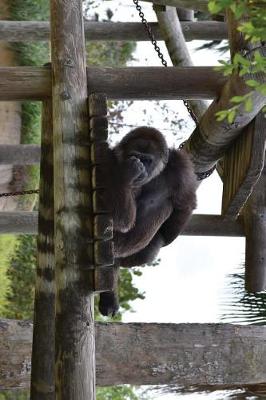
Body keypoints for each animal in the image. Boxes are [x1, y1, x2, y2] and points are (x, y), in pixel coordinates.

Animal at [98, 127, 197, 316]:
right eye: (135, 155)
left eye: (147, 160)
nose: (141, 166)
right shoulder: (107, 160)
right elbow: (119, 219)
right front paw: (127, 174)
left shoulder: (181, 165)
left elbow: (185, 204)